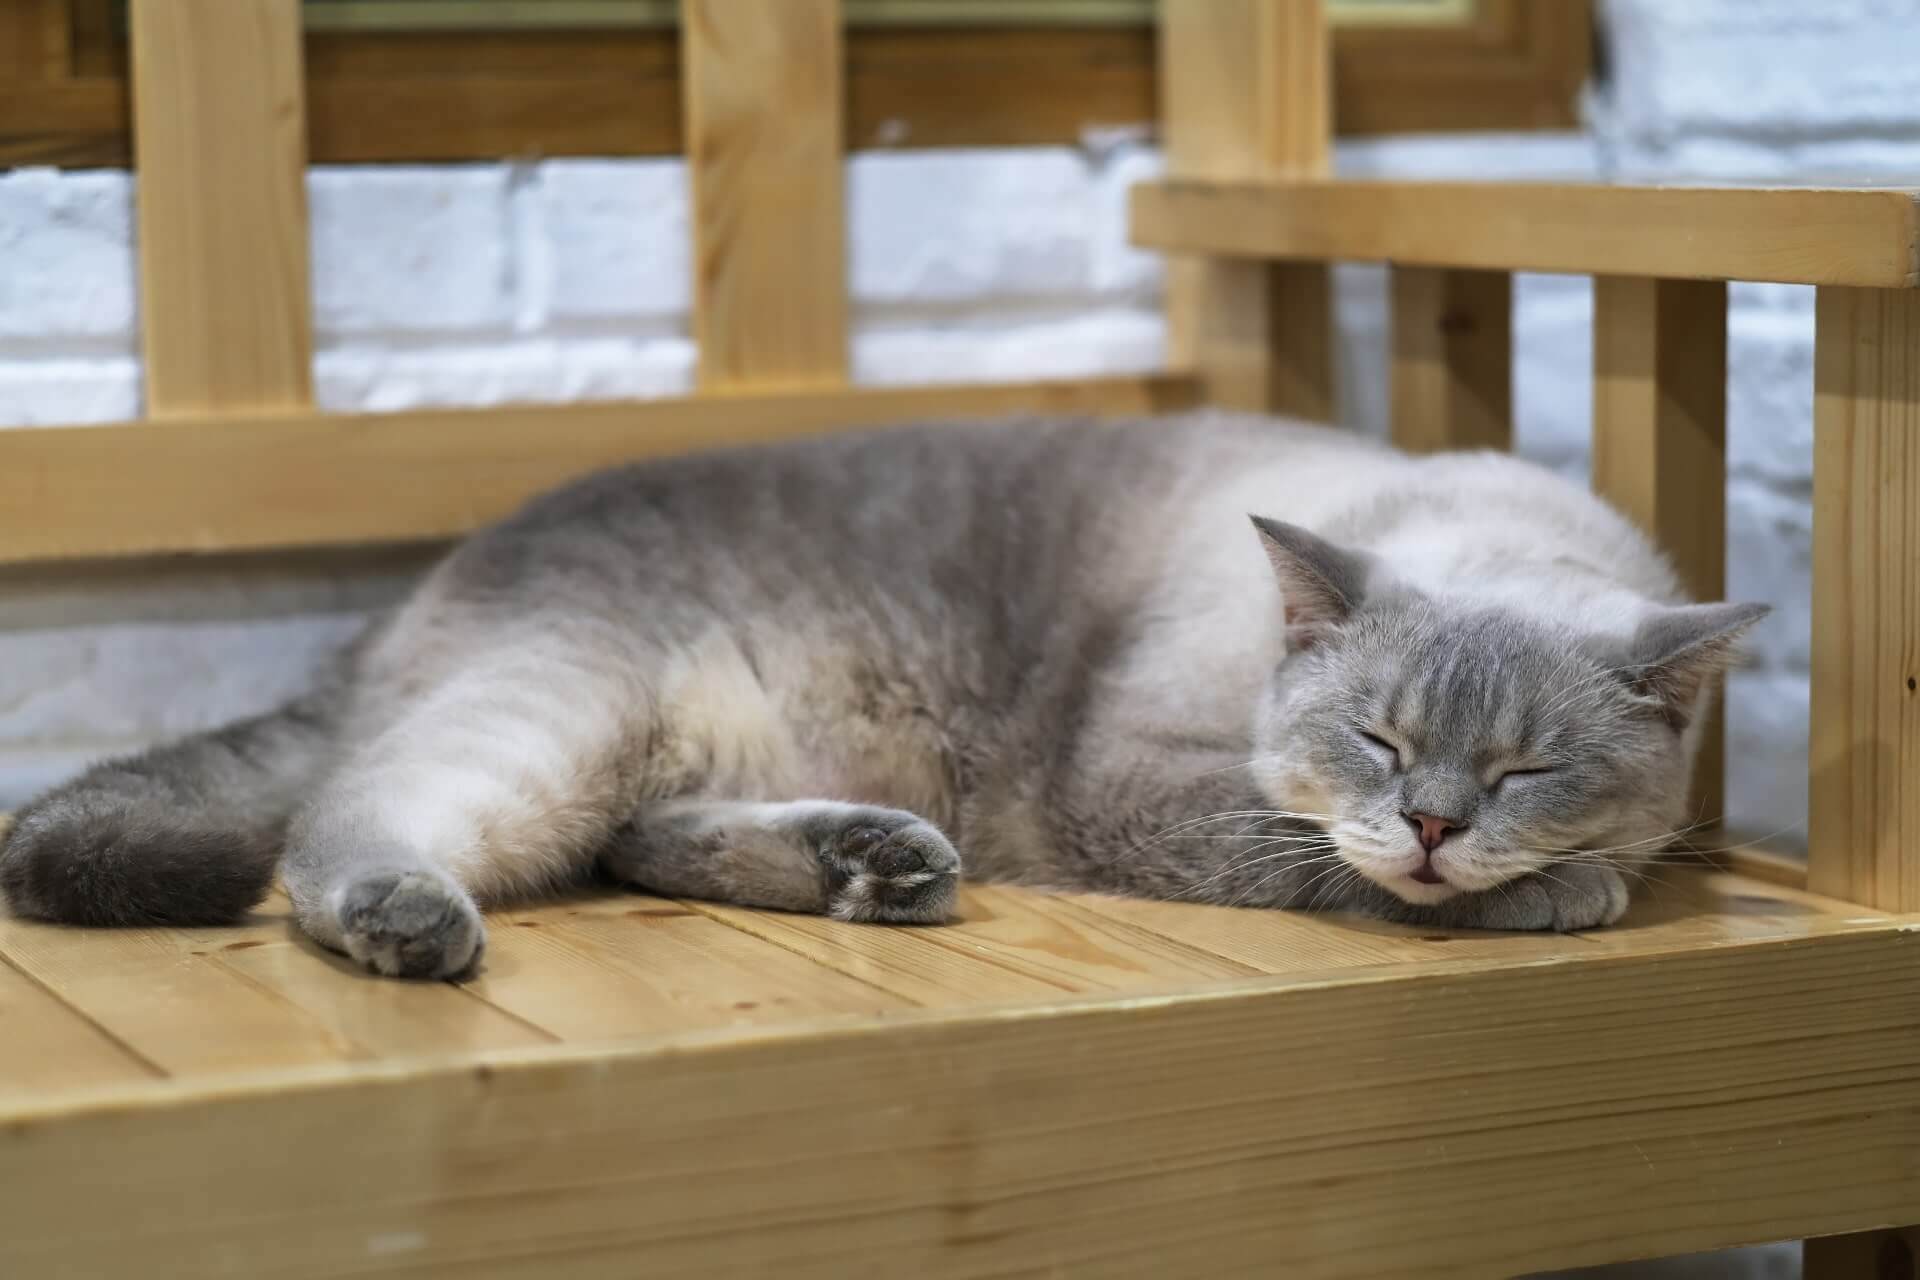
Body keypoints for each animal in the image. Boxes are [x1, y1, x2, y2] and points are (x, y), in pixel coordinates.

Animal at [3, 416, 1766, 974]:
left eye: (1525, 770)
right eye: (1380, 740)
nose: (1435, 824)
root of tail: (416, 594)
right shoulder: (1150, 785)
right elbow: (1341, 874)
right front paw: (1559, 896)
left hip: (647, 743)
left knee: (640, 838)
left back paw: (874, 866)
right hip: (564, 713)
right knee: (343, 819)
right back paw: (405, 922)